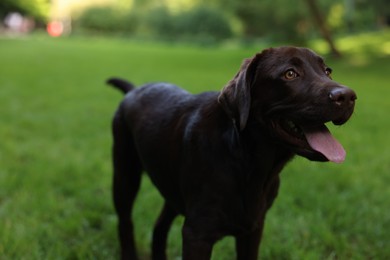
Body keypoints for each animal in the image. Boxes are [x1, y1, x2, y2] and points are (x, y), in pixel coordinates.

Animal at [106, 45, 356, 258]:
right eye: (290, 74)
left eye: (328, 71)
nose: (348, 97)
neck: (250, 163)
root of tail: (134, 89)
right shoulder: (197, 234)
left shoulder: (253, 230)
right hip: (125, 175)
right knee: (125, 222)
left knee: (159, 226)